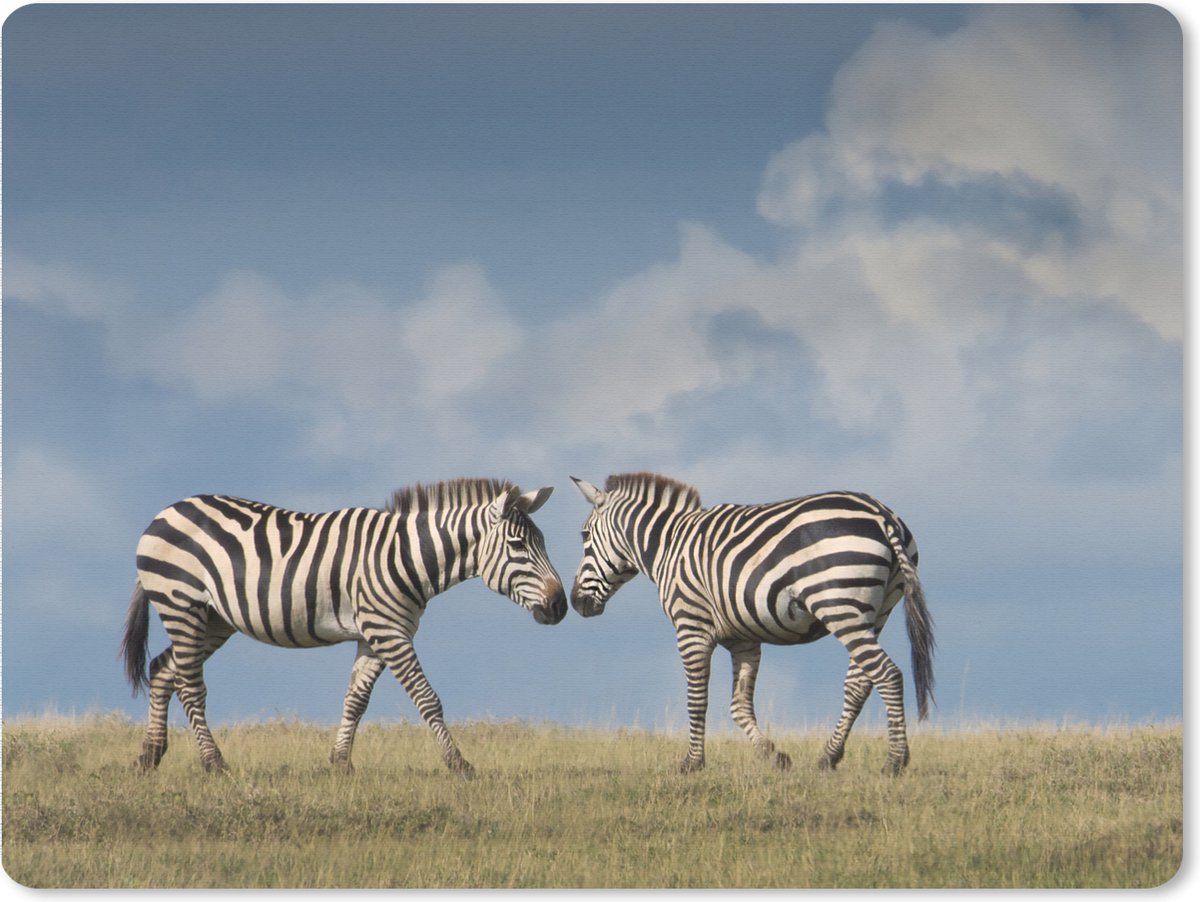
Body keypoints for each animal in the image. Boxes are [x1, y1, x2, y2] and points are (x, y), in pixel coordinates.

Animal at [120, 478, 566, 777]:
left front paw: (340, 763)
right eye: (518, 546)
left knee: (163, 670)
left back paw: (149, 756)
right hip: (182, 604)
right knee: (190, 685)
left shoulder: (377, 634)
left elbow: (356, 699)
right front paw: (460, 764)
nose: (560, 606)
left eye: (542, 543)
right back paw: (214, 763)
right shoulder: (389, 631)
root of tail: (165, 512)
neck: (407, 557)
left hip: (213, 619)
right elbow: (427, 699)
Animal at [569, 472, 934, 775]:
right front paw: (773, 756)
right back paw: (828, 757)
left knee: (887, 674)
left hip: (839, 605)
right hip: (874, 612)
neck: (667, 545)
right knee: (860, 683)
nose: (576, 603)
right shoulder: (743, 639)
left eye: (584, 535)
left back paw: (894, 761)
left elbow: (697, 698)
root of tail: (881, 514)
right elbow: (739, 705)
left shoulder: (691, 625)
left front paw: (692, 763)